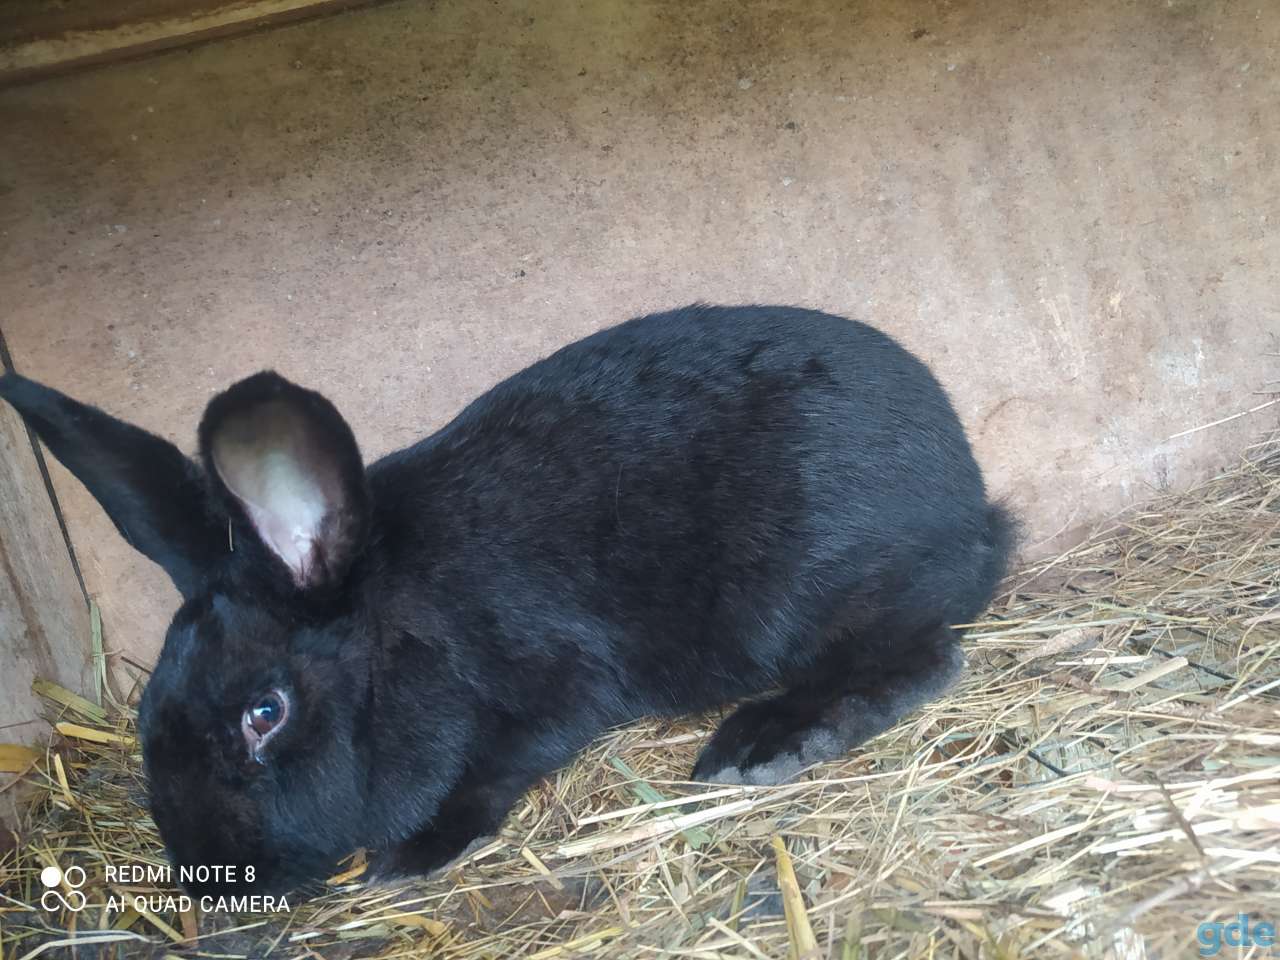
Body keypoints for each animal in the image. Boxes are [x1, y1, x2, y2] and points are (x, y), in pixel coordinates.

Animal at [0, 304, 1014, 898]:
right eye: (147, 718)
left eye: (265, 712)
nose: (209, 882)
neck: (396, 629)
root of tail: (971, 502)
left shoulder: (551, 685)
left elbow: (492, 770)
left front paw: (412, 853)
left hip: (810, 596)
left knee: (920, 653)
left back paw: (767, 742)